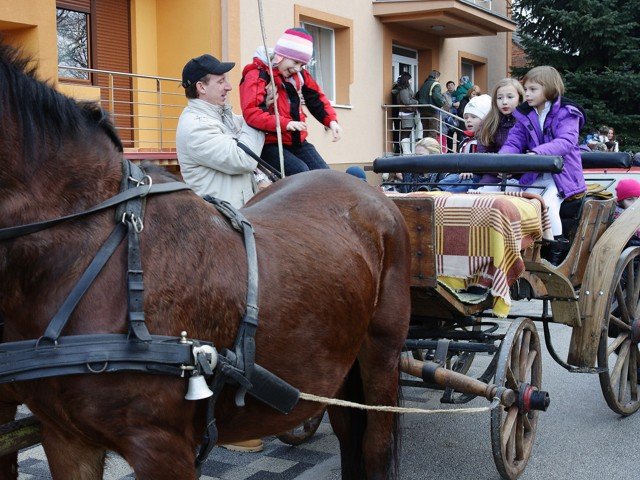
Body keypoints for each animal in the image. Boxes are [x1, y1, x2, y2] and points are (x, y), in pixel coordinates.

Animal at [0, 43, 411, 479]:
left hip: (381, 352)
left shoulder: (161, 447)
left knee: (374, 444)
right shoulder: (65, 438)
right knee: (349, 431)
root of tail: (367, 190)